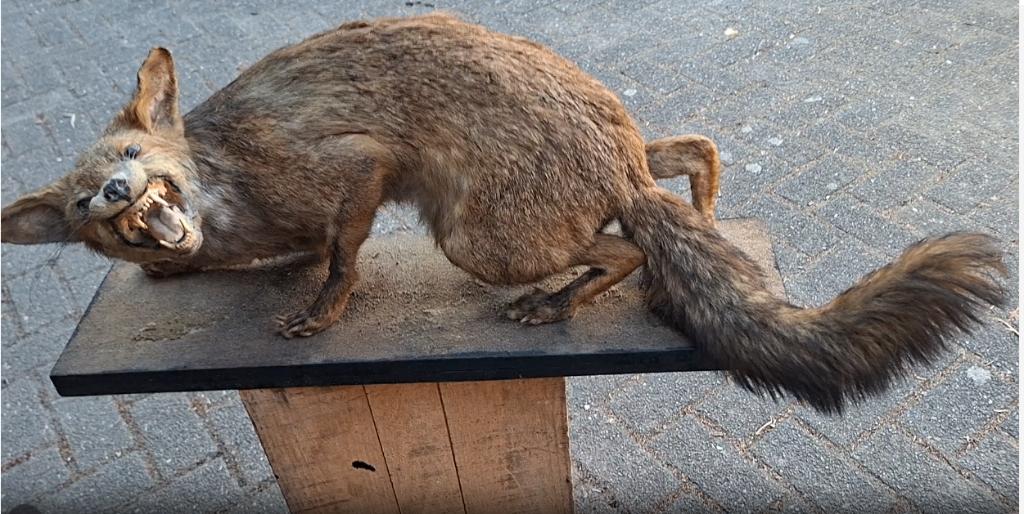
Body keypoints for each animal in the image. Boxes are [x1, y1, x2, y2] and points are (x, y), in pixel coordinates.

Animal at [0, 13, 1005, 413]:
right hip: (610, 171)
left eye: (133, 161)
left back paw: (557, 305)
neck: (230, 184)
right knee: (692, 153)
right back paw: (702, 207)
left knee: (625, 250)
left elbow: (342, 259)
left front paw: (322, 308)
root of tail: (612, 158)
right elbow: (289, 255)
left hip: (477, 242)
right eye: (88, 201)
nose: (120, 198)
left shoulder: (355, 166)